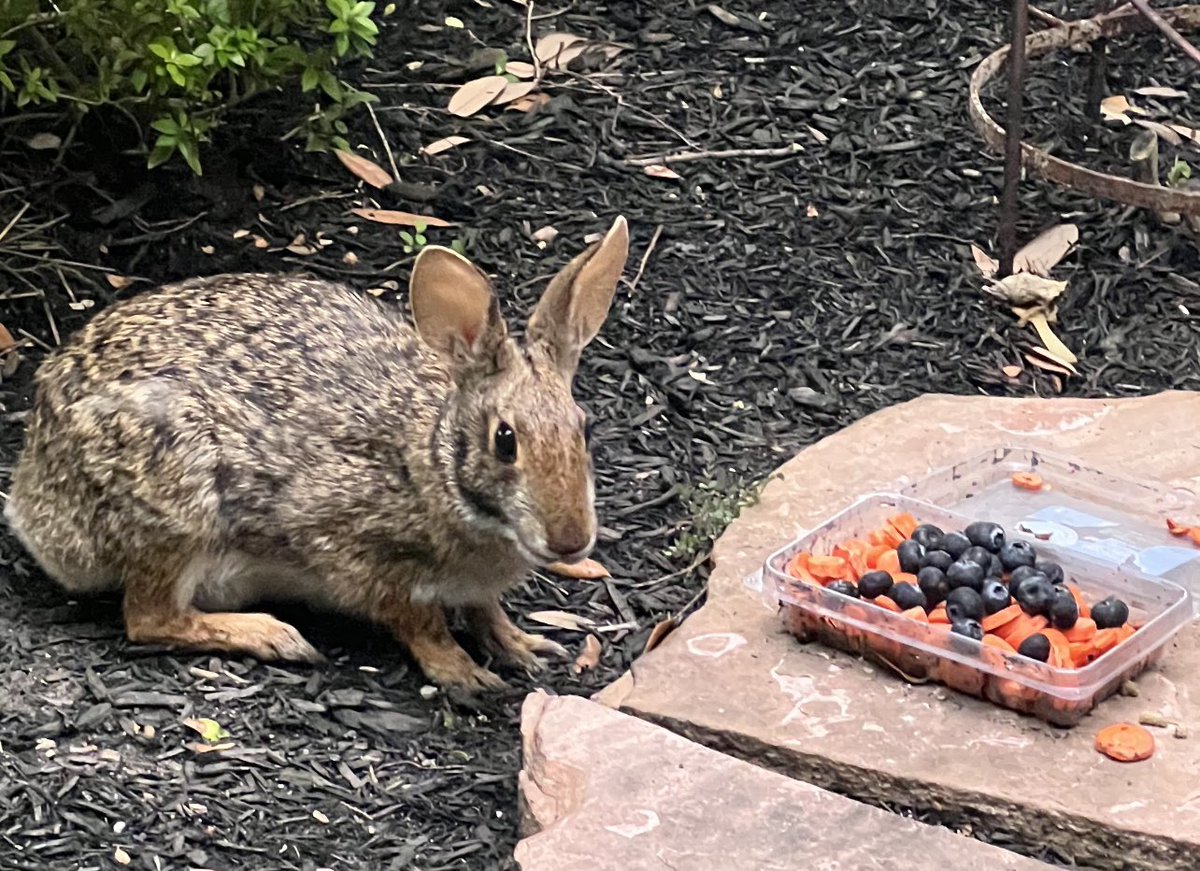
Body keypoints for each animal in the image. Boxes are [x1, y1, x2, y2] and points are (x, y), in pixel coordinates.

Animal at [4, 216, 630, 692]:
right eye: (505, 441)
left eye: (585, 429)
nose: (571, 540)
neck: (430, 463)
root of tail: (32, 500)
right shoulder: (352, 550)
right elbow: (417, 619)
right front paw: (463, 673)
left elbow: (485, 610)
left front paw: (523, 645)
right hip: (177, 503)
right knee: (150, 617)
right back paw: (272, 635)